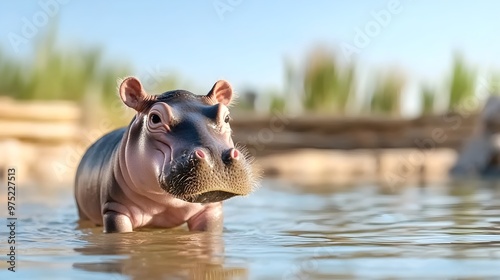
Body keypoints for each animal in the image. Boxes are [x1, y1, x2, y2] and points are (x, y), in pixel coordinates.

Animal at [77, 77, 262, 233]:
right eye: (155, 118)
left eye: (227, 117)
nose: (216, 159)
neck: (166, 201)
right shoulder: (115, 209)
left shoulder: (211, 210)